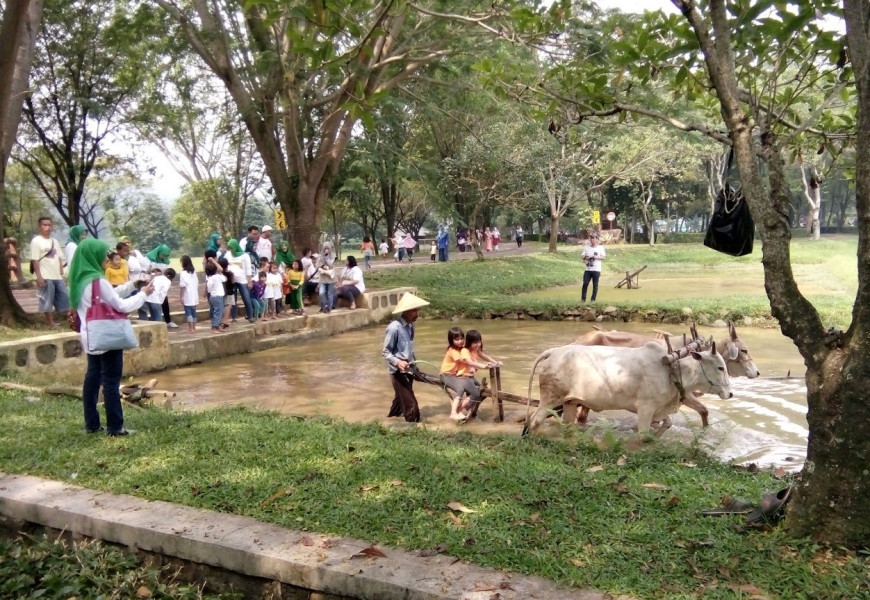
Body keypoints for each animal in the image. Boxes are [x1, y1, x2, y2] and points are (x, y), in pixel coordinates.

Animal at [524, 342, 736, 436]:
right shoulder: (646, 407)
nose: (730, 393)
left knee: (567, 425)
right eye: (720, 367)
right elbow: (643, 434)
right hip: (550, 398)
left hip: (570, 401)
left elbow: (671, 422)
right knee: (533, 421)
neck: (670, 370)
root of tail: (553, 351)